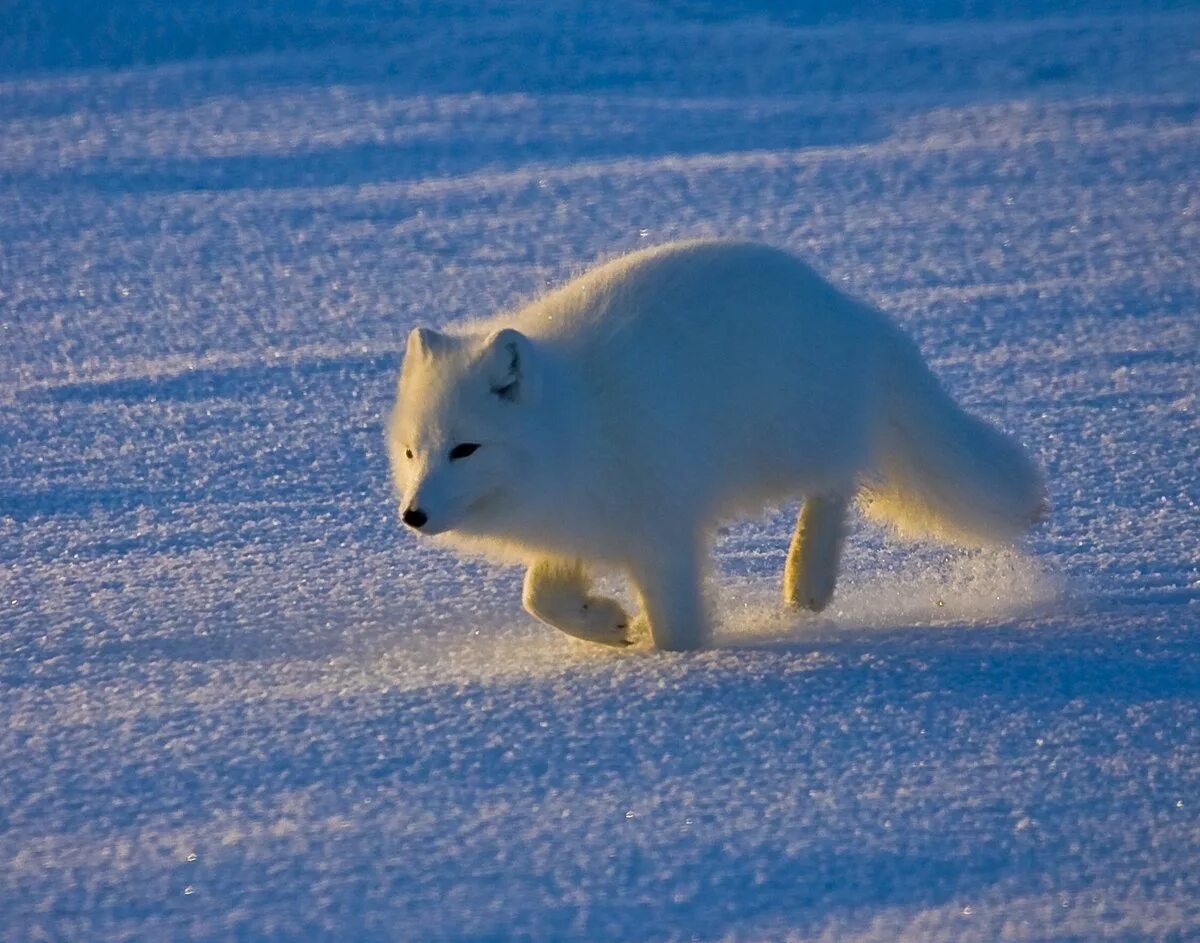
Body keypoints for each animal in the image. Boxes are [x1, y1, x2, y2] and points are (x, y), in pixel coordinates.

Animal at [386, 238, 1041, 652]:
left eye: (465, 449)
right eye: (414, 452)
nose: (413, 515)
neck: (575, 428)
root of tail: (849, 308)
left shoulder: (663, 529)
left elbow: (677, 629)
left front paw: (684, 669)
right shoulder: (580, 527)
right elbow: (537, 597)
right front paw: (611, 625)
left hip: (788, 444)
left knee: (838, 479)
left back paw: (807, 580)